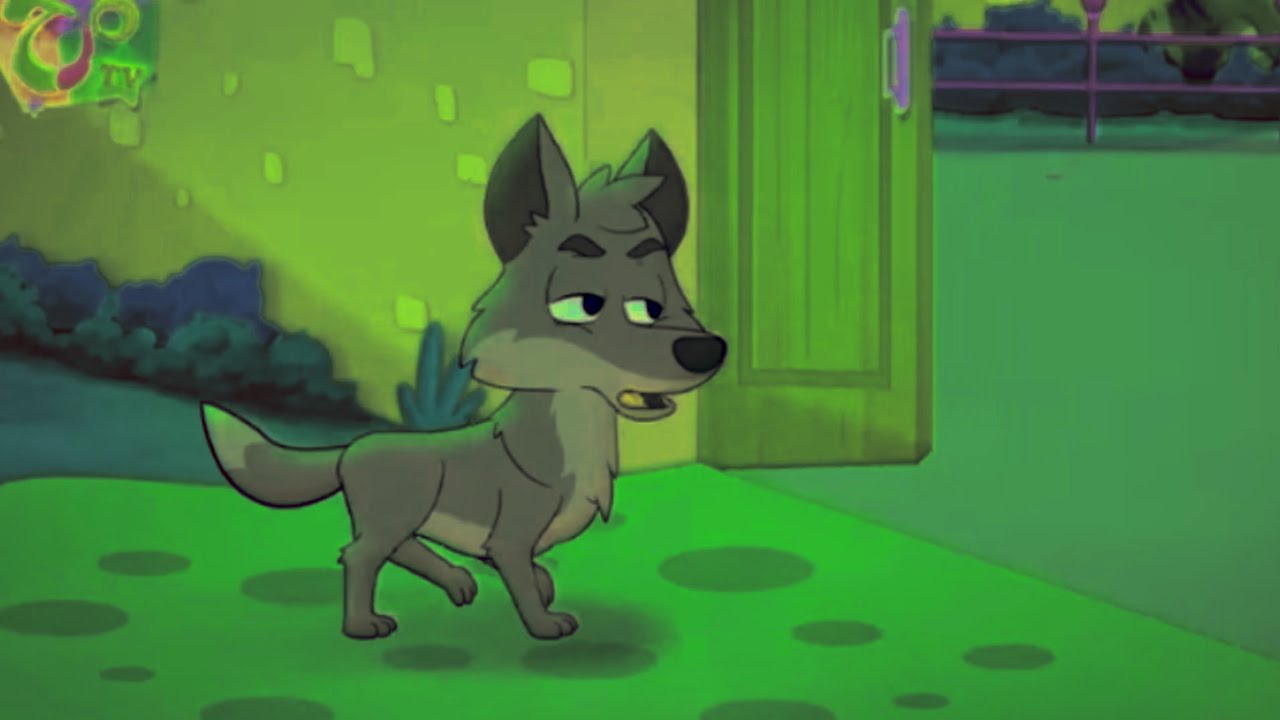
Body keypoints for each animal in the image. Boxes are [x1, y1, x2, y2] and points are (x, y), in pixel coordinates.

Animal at [200, 114, 727, 641]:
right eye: (583, 305)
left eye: (655, 306)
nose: (707, 350)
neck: (574, 439)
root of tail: (352, 449)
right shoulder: (510, 538)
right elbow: (523, 580)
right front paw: (544, 623)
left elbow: (536, 575)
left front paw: (539, 590)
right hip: (397, 511)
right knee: (360, 556)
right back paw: (363, 624)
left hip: (401, 516)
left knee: (395, 548)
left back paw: (456, 582)